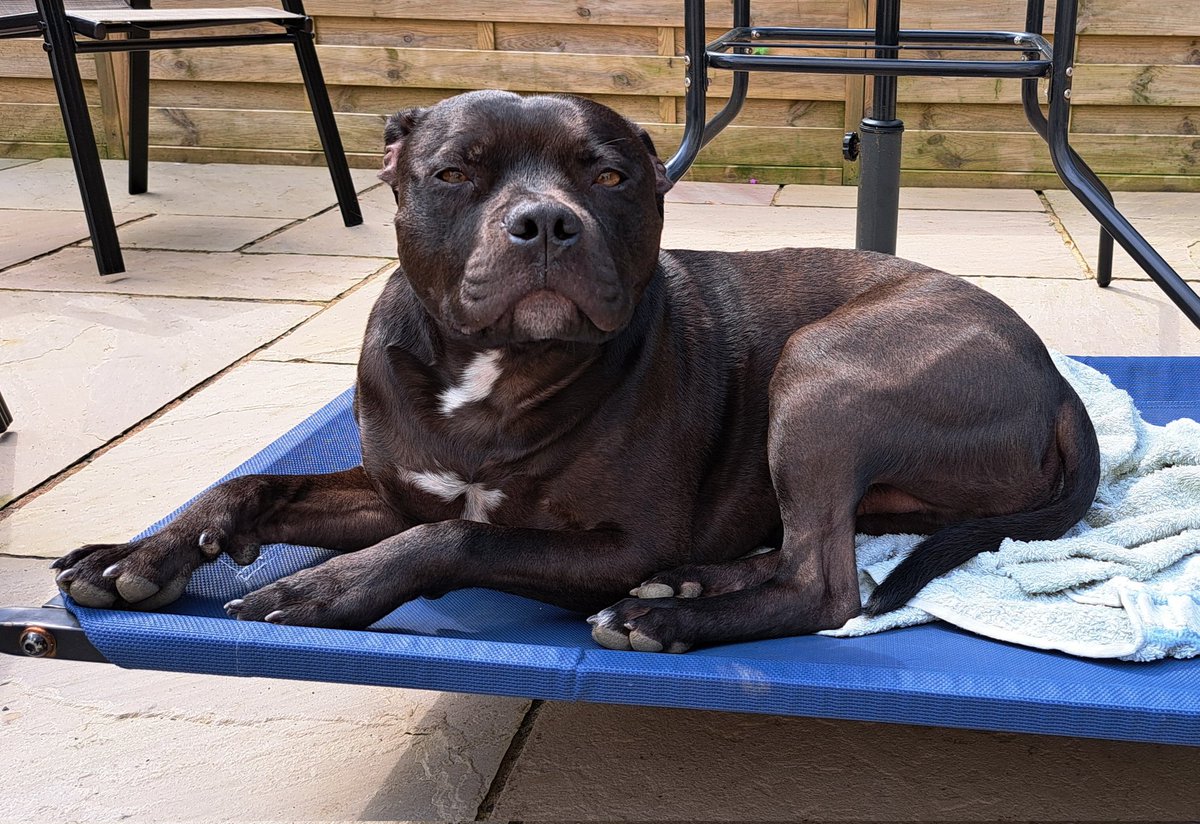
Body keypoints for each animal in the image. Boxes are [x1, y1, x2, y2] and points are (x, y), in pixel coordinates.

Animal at [54, 91, 1099, 652]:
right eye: (454, 172)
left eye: (609, 176)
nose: (545, 222)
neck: (495, 370)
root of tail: (1057, 381)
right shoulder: (395, 491)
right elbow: (256, 484)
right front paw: (137, 554)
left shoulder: (614, 543)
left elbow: (459, 540)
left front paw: (328, 588)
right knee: (801, 551)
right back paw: (693, 586)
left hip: (823, 374)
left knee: (825, 585)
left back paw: (669, 619)